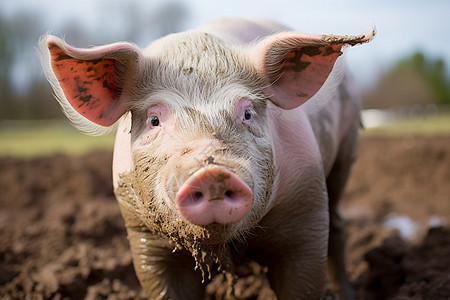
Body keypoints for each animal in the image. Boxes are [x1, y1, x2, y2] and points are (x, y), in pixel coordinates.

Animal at [40, 18, 374, 300]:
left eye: (247, 112)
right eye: (154, 120)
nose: (212, 172)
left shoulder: (307, 209)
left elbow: (303, 278)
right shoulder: (142, 233)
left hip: (346, 152)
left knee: (338, 223)